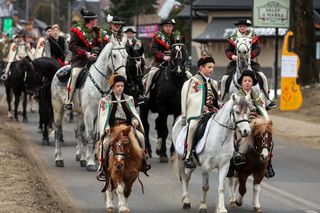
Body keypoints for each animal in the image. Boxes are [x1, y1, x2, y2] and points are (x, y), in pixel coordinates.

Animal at [50, 34, 127, 171]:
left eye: (127, 55)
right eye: (114, 55)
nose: (123, 77)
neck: (100, 81)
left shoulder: (100, 114)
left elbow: (97, 135)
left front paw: (92, 159)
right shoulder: (90, 114)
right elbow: (91, 136)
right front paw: (91, 162)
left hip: (80, 113)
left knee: (79, 132)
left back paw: (81, 159)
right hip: (58, 109)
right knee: (58, 131)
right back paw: (59, 159)